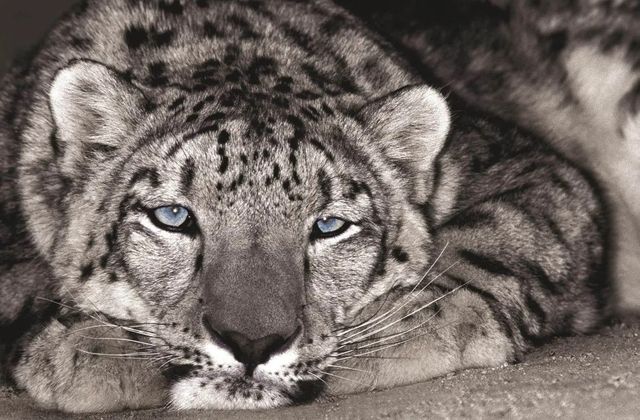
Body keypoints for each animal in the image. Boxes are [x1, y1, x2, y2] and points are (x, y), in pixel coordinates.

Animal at [0, 0, 607, 412]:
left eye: (330, 225)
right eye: (172, 216)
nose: (252, 343)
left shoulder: (527, 164)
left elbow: (501, 234)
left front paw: (413, 323)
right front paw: (87, 345)